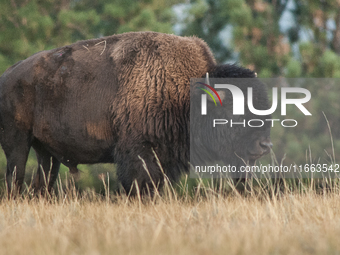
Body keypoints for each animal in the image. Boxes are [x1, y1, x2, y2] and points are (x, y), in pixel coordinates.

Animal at [0, 31, 270, 195]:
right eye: (235, 112)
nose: (264, 145)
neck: (184, 94)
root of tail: (7, 75)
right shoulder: (140, 153)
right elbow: (140, 182)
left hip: (46, 152)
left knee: (42, 181)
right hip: (17, 144)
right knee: (15, 177)